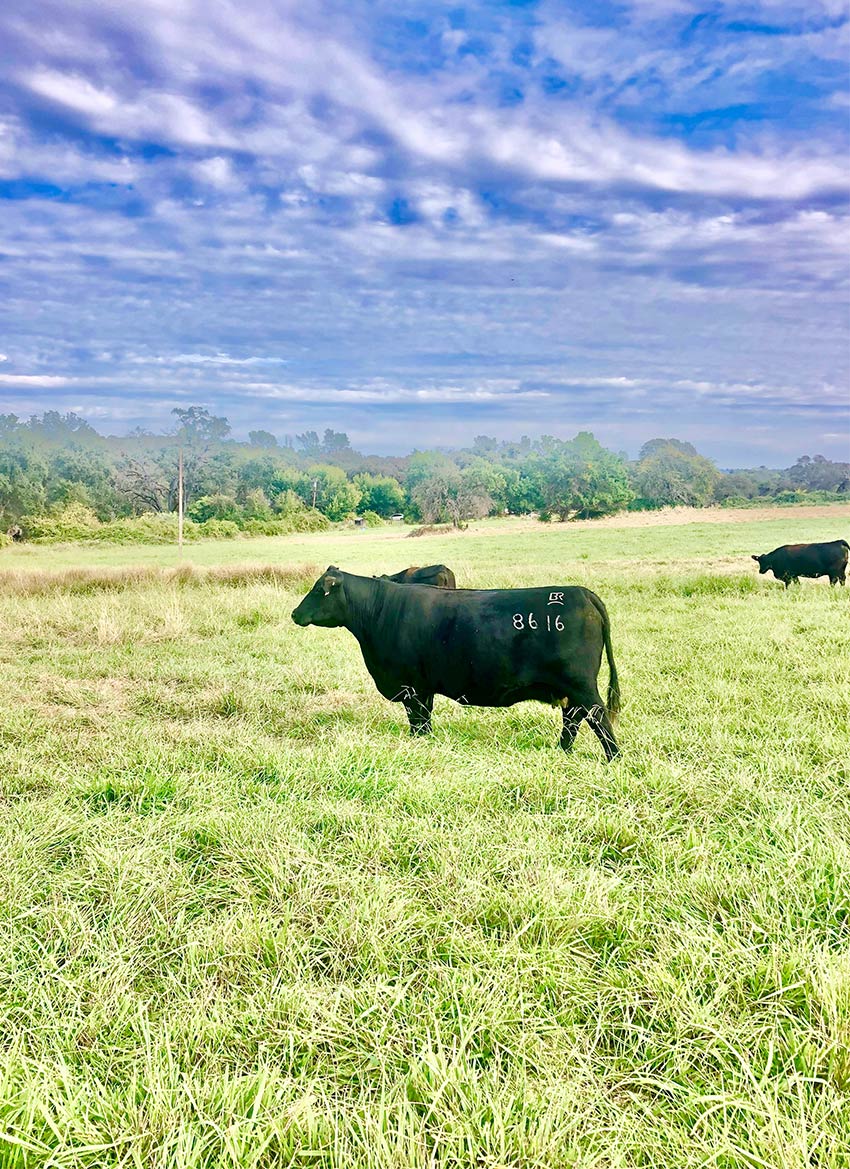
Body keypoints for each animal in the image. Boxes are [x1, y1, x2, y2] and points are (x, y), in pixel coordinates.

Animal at [295, 568, 622, 766]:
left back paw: (613, 758)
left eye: (318, 590)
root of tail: (581, 592)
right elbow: (424, 721)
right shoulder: (424, 688)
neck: (379, 612)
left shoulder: (412, 687)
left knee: (597, 717)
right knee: (574, 718)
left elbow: (417, 721)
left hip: (580, 684)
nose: (294, 613)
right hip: (569, 688)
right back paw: (562, 751)